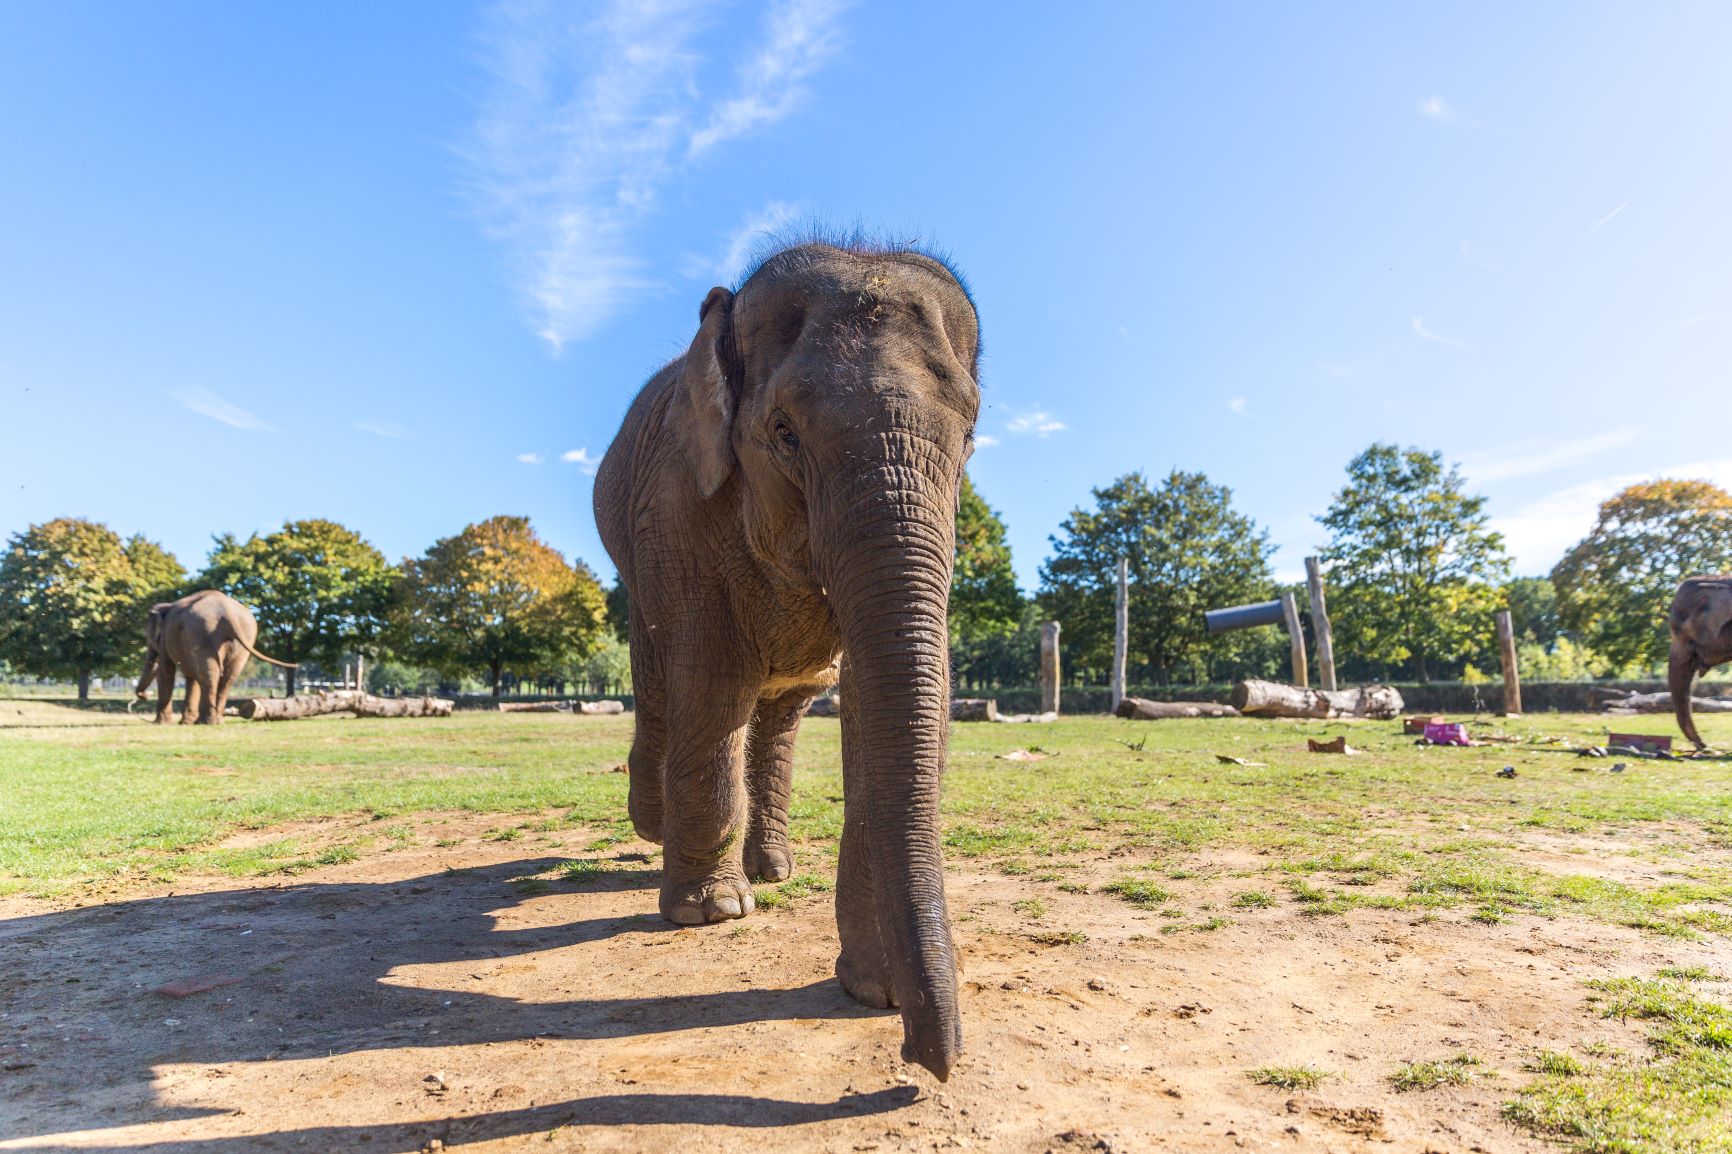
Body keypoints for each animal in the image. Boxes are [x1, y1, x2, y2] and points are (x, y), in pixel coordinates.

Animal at [135, 589, 297, 724]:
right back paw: (215, 721)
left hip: (200, 633)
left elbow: (166, 671)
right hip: (244, 637)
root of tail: (227, 612)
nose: (145, 695)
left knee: (208, 674)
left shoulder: (165, 640)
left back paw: (206, 722)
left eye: (148, 637)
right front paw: (185, 722)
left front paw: (162, 723)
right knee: (228, 677)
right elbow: (190, 676)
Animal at [592, 237, 976, 1074]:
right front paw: (712, 914)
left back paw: (773, 867)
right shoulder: (678, 506)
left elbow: (881, 702)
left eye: (969, 439)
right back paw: (660, 831)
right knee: (666, 685)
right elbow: (713, 681)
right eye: (784, 432)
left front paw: (876, 991)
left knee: (783, 713)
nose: (925, 1063)